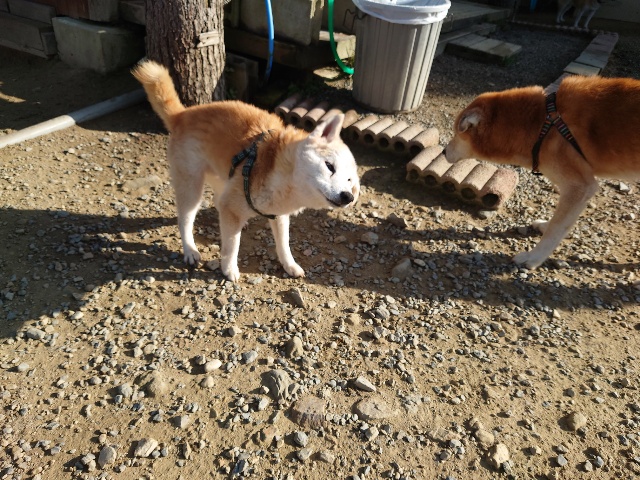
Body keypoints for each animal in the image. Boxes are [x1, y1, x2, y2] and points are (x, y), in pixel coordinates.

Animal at [133, 60, 360, 282]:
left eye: (349, 181)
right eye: (330, 166)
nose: (347, 196)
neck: (282, 173)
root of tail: (182, 114)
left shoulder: (277, 214)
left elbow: (283, 243)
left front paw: (290, 265)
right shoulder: (240, 206)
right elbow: (232, 244)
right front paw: (229, 269)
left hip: (223, 176)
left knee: (218, 201)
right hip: (192, 186)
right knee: (185, 220)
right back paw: (190, 250)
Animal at [445, 75, 640, 269]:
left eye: (456, 133)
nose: (444, 151)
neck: (540, 123)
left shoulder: (581, 186)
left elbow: (556, 228)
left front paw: (533, 258)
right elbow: (559, 220)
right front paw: (545, 225)